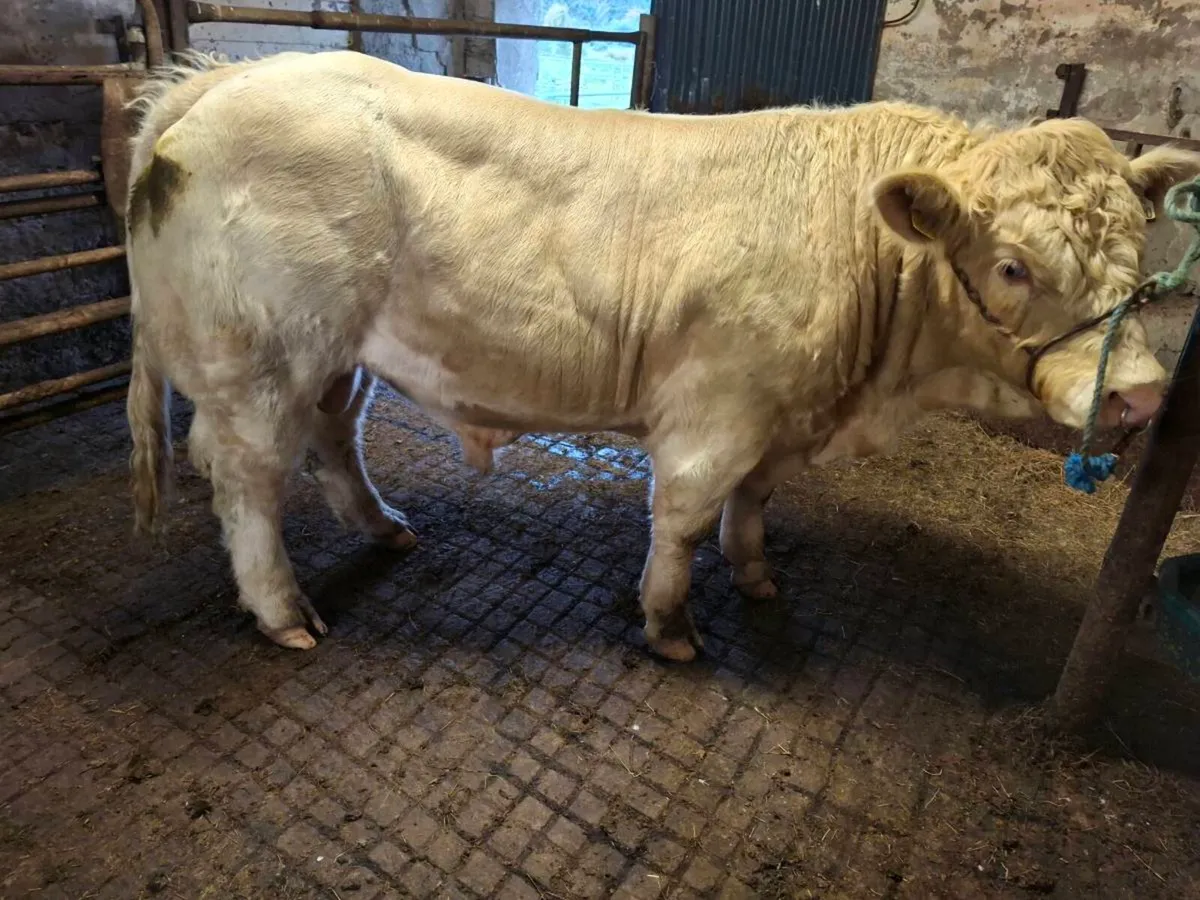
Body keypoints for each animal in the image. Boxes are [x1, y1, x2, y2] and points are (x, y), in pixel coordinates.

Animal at [124, 50, 1199, 662]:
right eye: (1013, 265)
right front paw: (672, 627)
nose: (1145, 397)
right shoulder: (719, 406)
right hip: (256, 361)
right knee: (248, 480)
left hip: (336, 355)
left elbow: (754, 504)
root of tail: (224, 77)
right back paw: (282, 612)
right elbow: (682, 516)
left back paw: (384, 529)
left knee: (331, 436)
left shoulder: (781, 412)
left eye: (1138, 249)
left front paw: (757, 576)